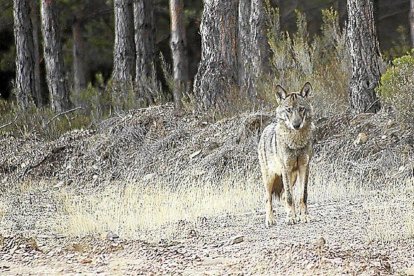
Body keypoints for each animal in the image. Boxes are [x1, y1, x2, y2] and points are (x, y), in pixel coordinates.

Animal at [258, 82, 314, 226]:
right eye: (288, 110)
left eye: (301, 109)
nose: (296, 125)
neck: (296, 142)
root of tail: (265, 129)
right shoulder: (285, 168)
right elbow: (290, 197)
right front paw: (290, 218)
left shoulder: (304, 167)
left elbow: (302, 196)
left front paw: (304, 216)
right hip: (270, 178)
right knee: (268, 198)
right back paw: (270, 220)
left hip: (292, 176)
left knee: (283, 195)